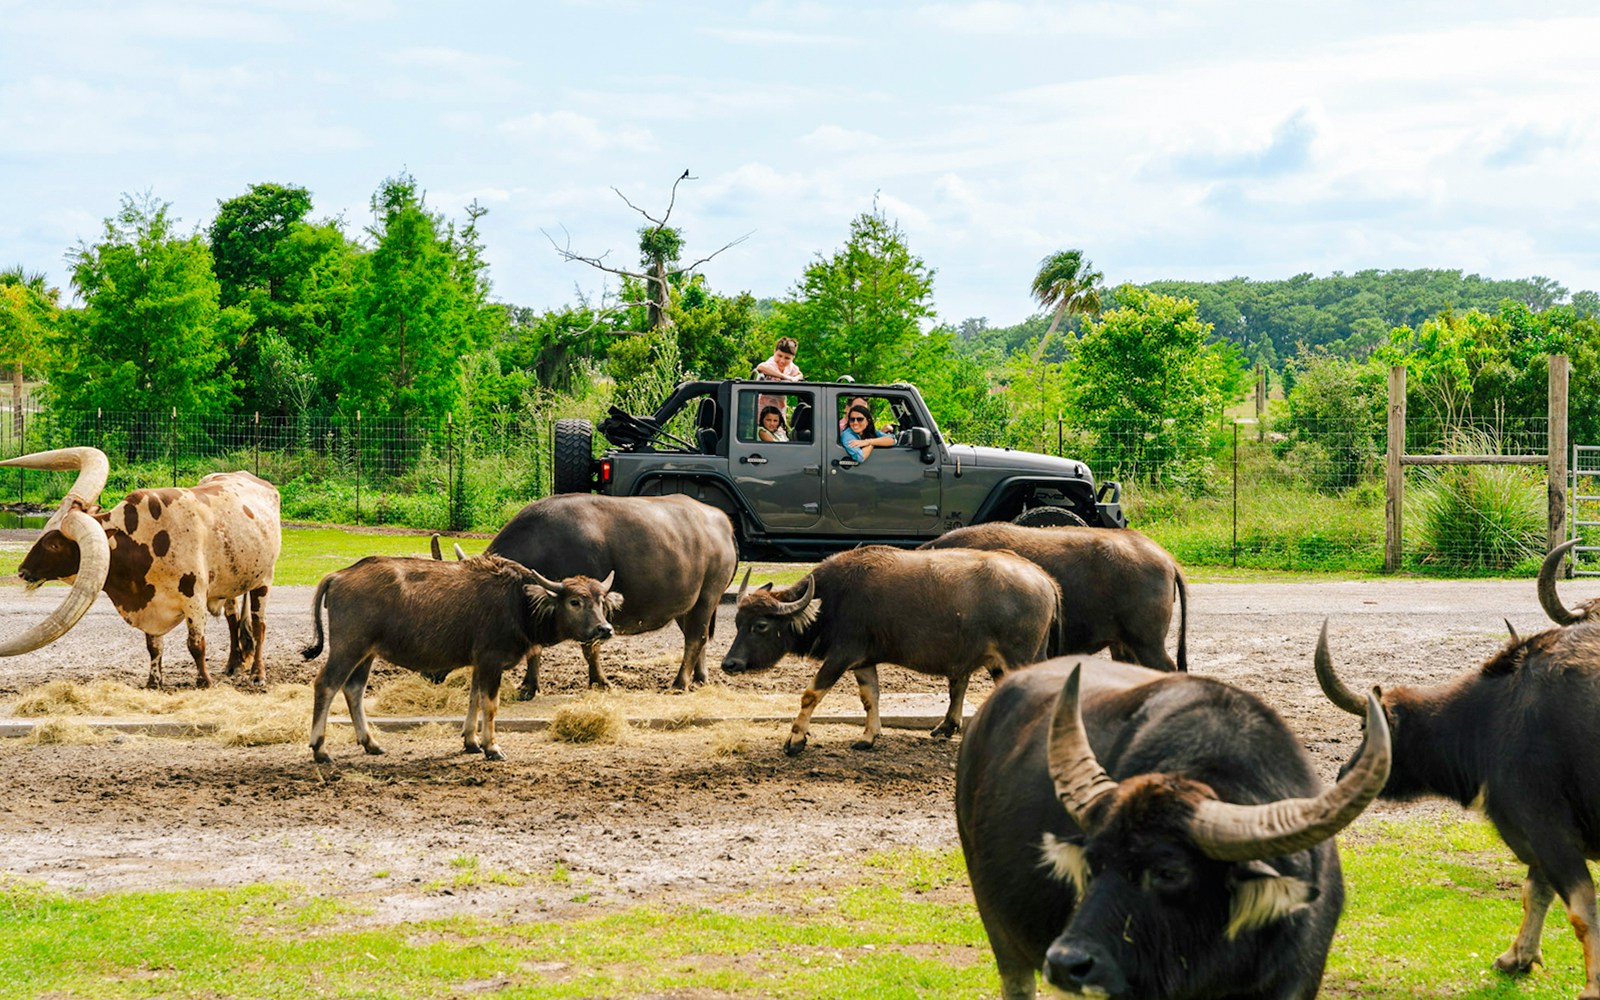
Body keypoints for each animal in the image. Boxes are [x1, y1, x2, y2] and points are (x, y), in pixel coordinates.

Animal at [0, 446, 281, 688]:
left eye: (54, 545)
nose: (22, 571)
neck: (143, 540)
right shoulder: (150, 604)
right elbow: (153, 647)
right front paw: (153, 682)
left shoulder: (194, 597)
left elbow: (196, 644)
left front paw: (204, 682)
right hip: (231, 583)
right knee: (233, 620)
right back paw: (233, 666)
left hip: (264, 580)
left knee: (259, 625)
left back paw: (257, 675)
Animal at [303, 554, 619, 762]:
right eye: (575, 601)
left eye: (600, 601)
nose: (604, 629)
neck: (518, 602)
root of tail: (339, 575)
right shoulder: (491, 661)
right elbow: (490, 705)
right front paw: (492, 747)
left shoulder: (479, 664)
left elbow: (474, 698)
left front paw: (471, 741)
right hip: (349, 647)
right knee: (326, 685)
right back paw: (320, 749)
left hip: (367, 653)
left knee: (353, 689)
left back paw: (371, 743)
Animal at [484, 493, 737, 694]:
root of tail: (723, 521)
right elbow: (535, 649)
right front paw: (529, 686)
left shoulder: (593, 612)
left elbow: (591, 648)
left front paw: (600, 682)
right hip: (688, 606)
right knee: (697, 637)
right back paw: (700, 678)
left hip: (707, 597)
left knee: (695, 638)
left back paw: (679, 683)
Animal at [721, 545, 1062, 755]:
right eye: (737, 622)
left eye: (760, 626)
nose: (729, 664)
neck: (832, 601)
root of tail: (1043, 579)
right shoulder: (862, 660)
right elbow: (870, 697)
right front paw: (868, 737)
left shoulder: (840, 656)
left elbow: (810, 694)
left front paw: (795, 740)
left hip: (1018, 657)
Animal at [1316, 612, 1600, 999]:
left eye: (1364, 726)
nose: (1344, 772)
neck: (1495, 715)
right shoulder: (1542, 836)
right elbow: (1535, 893)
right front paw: (1517, 957)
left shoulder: (1547, 827)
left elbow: (1581, 909)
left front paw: (1591, 987)